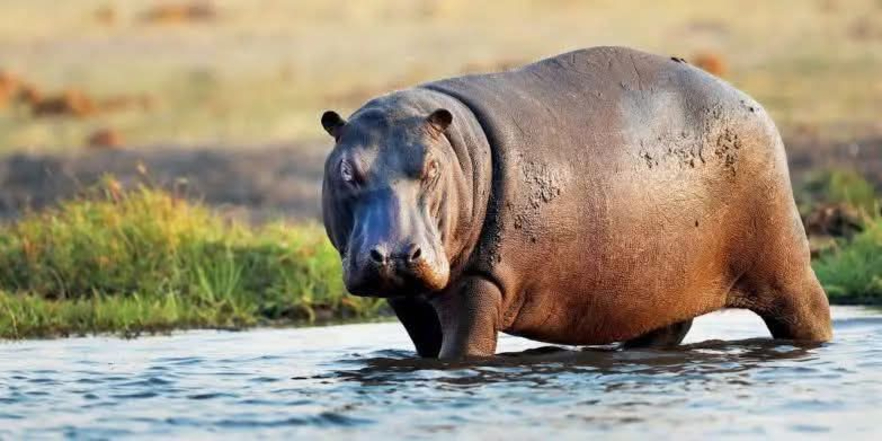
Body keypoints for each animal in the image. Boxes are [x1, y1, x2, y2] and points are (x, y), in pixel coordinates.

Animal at [320, 46, 832, 359]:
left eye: (430, 167)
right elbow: (427, 347)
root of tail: (752, 103)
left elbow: (463, 350)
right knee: (666, 328)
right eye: (346, 169)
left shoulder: (480, 280)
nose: (396, 254)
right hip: (664, 281)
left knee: (811, 310)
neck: (458, 150)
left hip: (782, 261)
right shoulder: (407, 298)